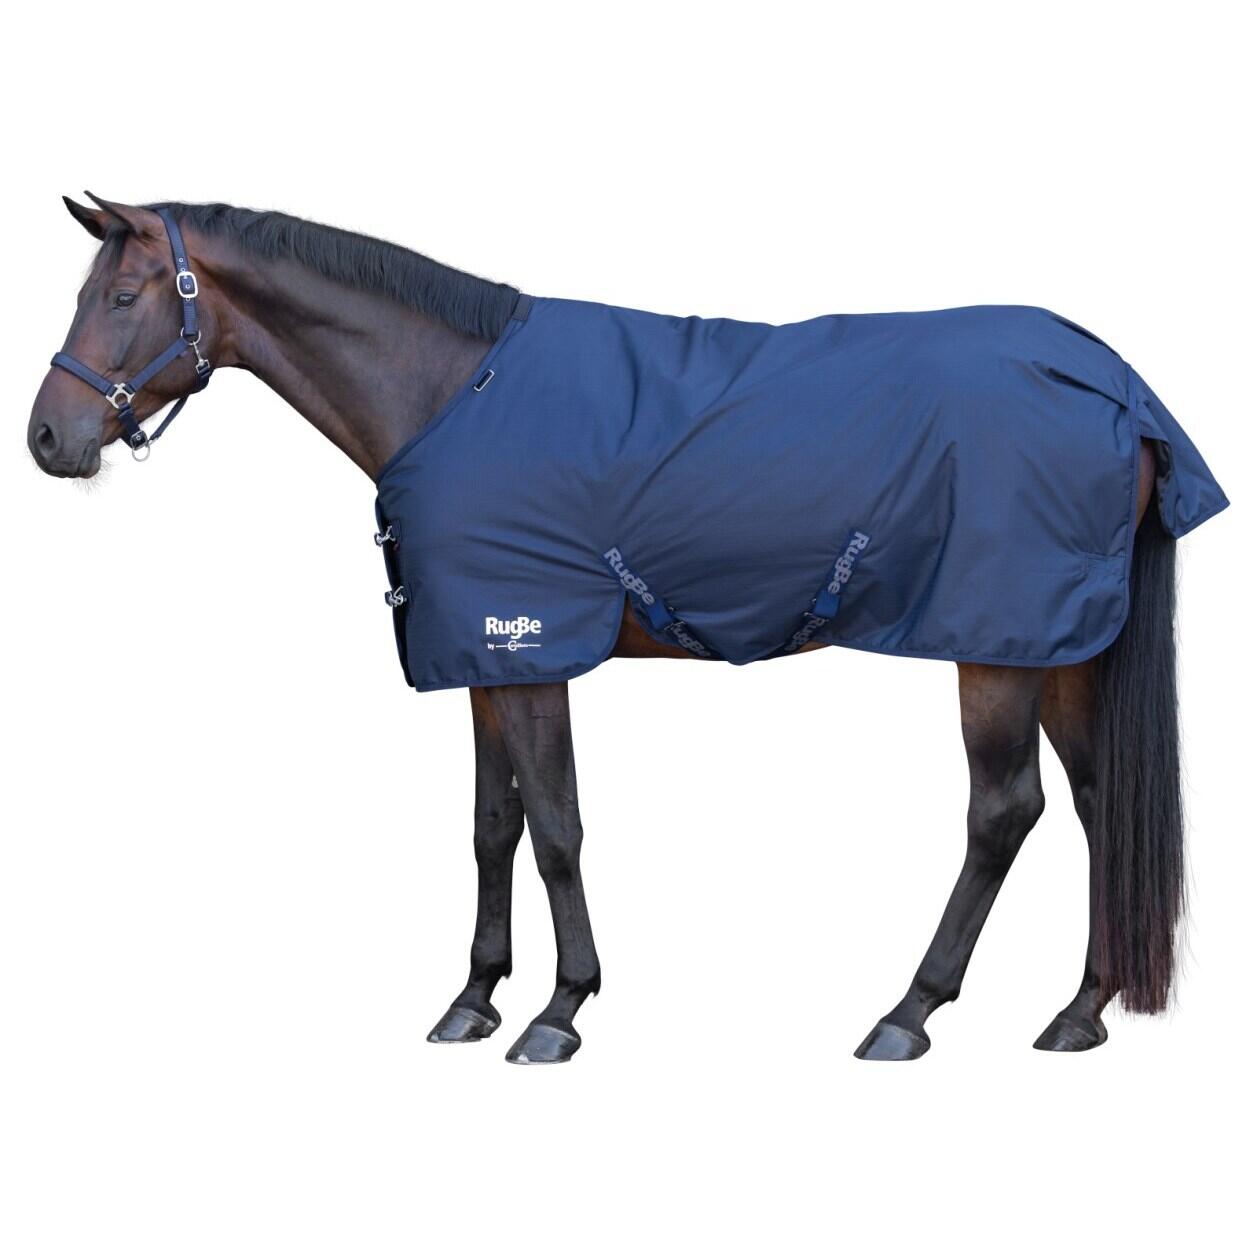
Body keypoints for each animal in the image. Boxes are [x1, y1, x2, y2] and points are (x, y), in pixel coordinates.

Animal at [28, 193, 1226, 1063]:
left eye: (125, 294)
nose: (49, 437)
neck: (453, 391)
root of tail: (1117, 385)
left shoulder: (530, 647)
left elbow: (556, 826)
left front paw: (558, 1011)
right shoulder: (481, 654)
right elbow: (492, 826)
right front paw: (473, 998)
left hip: (996, 647)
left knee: (1004, 812)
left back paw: (908, 1013)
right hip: (1060, 648)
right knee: (1101, 805)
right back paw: (1081, 1009)